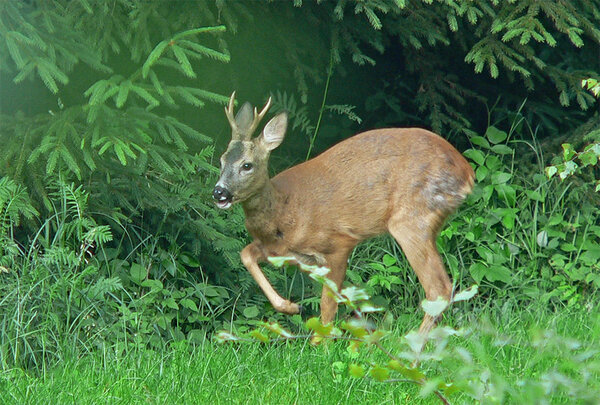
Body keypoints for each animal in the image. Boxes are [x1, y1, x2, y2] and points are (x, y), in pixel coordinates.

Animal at [213, 92, 476, 334]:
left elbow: (328, 305)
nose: (219, 192)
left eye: (247, 165)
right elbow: (245, 254)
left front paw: (321, 343)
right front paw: (291, 307)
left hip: (412, 218)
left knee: (439, 288)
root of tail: (467, 172)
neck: (283, 211)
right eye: (221, 160)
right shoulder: (284, 252)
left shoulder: (337, 242)